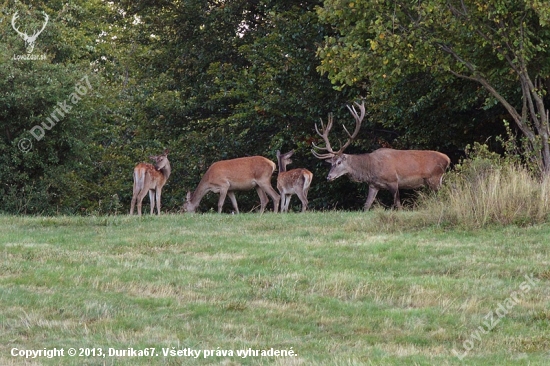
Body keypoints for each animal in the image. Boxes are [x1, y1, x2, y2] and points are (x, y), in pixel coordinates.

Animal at [312, 103, 450, 210]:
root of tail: (447, 159)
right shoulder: (374, 185)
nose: (329, 177)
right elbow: (366, 205)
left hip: (434, 178)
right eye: (331, 163)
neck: (371, 168)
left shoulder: (393, 180)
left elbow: (398, 205)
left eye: (339, 162)